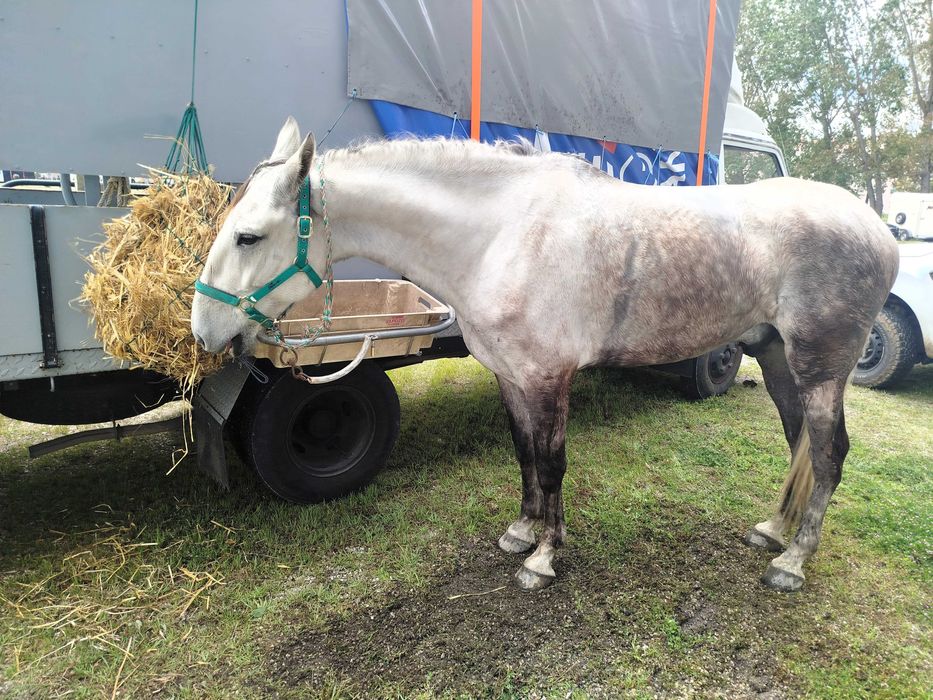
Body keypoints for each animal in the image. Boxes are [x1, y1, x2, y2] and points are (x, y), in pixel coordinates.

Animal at [191, 117, 899, 593]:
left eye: (249, 235)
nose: (203, 331)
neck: (501, 234)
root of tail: (881, 231)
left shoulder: (547, 375)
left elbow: (553, 463)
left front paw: (543, 559)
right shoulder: (512, 375)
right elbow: (525, 454)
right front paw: (522, 533)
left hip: (821, 370)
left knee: (828, 455)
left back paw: (792, 562)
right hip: (779, 359)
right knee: (798, 440)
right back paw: (773, 531)